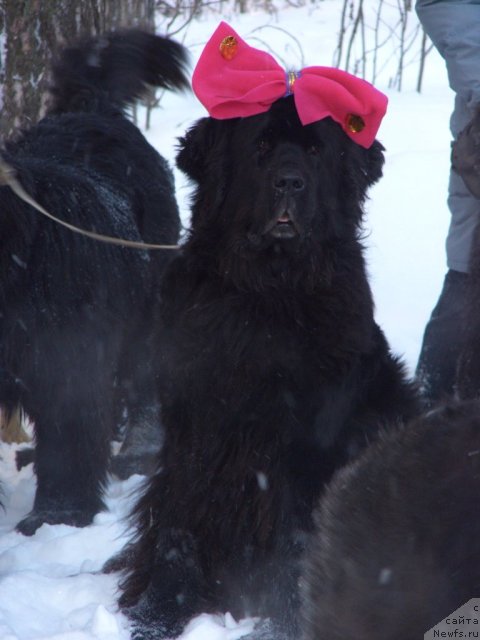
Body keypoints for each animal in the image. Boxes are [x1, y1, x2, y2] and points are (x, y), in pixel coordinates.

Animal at [0, 28, 190, 536]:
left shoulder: (65, 358)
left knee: (144, 375)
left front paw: (58, 516)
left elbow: (70, 436)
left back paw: (140, 448)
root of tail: (92, 108)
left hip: (151, 290)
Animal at [110, 21, 418, 640]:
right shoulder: (197, 426)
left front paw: (286, 622)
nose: (290, 183)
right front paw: (157, 613)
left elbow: (296, 538)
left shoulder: (308, 439)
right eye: (260, 150)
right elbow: (179, 522)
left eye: (317, 152)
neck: (268, 291)